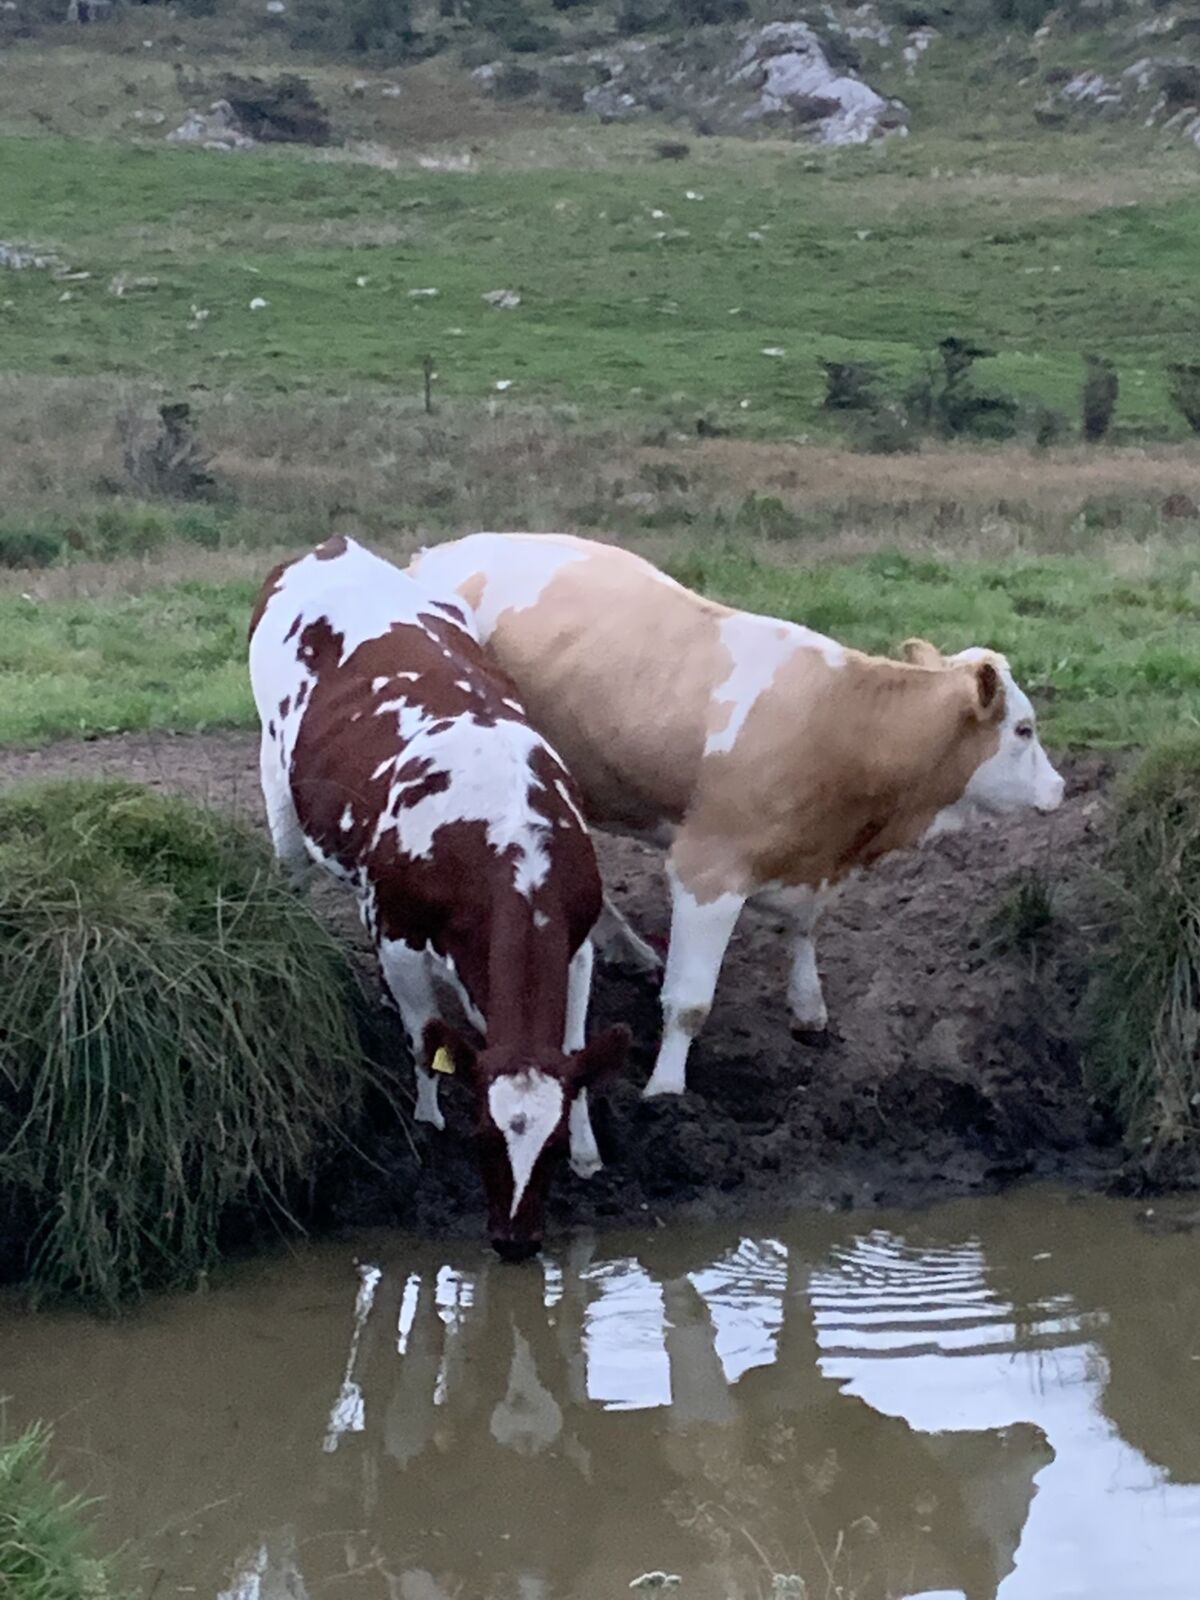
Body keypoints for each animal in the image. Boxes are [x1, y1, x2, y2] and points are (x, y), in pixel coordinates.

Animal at [248, 536, 629, 1260]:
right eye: (482, 1134)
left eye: (550, 1147)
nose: (515, 1242)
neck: (506, 839)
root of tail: (334, 546)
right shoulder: (397, 933)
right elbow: (426, 1037)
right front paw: (426, 1121)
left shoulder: (577, 942)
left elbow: (574, 1047)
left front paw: (591, 1151)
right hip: (277, 784)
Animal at [409, 532, 1065, 1098]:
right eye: (1024, 730)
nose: (1059, 788)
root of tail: (432, 554)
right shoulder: (708, 871)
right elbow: (690, 1003)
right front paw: (666, 1090)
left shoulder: (809, 860)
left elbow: (805, 928)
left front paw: (808, 1005)